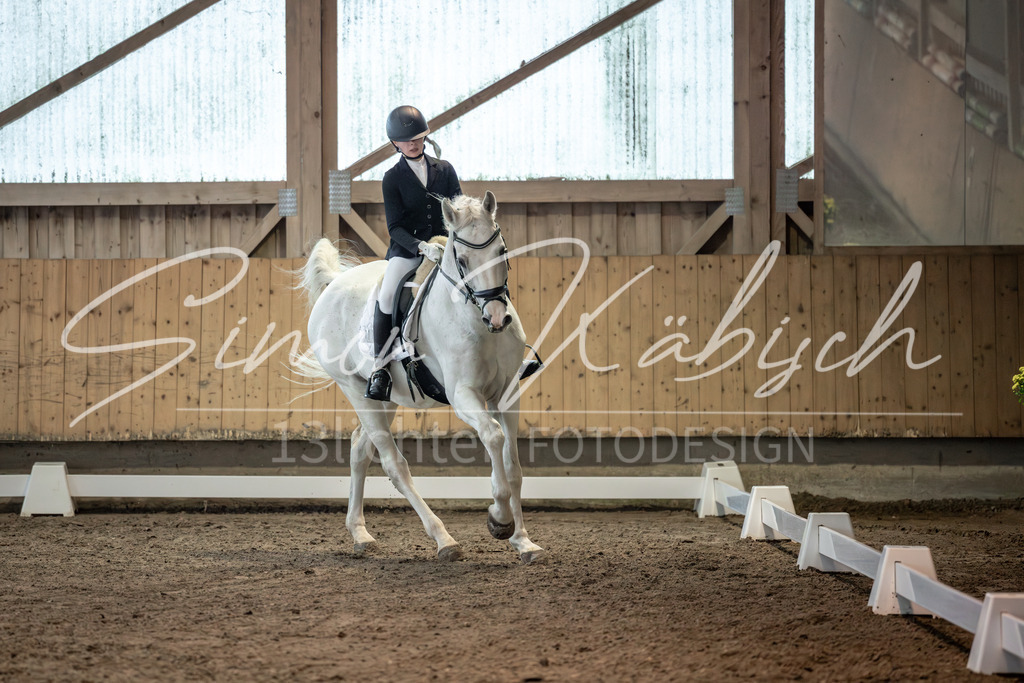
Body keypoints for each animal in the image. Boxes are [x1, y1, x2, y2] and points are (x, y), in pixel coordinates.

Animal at [298, 191, 544, 563]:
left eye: (501, 251)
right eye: (463, 260)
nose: (497, 318)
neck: (474, 319)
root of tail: (333, 285)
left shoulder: (506, 394)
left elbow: (513, 467)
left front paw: (523, 541)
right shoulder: (463, 394)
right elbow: (493, 436)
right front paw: (499, 520)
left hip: (385, 398)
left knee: (360, 448)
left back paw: (361, 534)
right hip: (353, 388)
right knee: (394, 465)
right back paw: (444, 540)